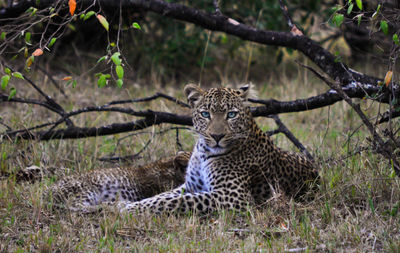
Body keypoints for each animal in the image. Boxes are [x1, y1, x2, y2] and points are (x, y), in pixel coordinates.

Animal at [119, 84, 318, 214]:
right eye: (205, 114)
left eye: (231, 114)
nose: (217, 136)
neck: (203, 152)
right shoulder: (189, 185)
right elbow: (162, 197)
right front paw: (124, 204)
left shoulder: (234, 196)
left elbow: (178, 201)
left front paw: (127, 209)